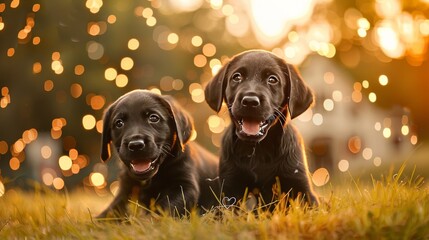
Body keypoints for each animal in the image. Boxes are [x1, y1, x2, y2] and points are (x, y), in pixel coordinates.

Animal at [97, 89, 217, 218]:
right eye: (119, 123)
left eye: (153, 118)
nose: (135, 145)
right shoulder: (126, 191)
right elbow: (109, 213)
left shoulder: (184, 186)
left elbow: (165, 208)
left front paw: (147, 220)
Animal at [204, 50, 318, 208]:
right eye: (237, 77)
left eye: (272, 79)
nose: (250, 101)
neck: (258, 150)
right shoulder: (230, 187)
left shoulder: (302, 188)